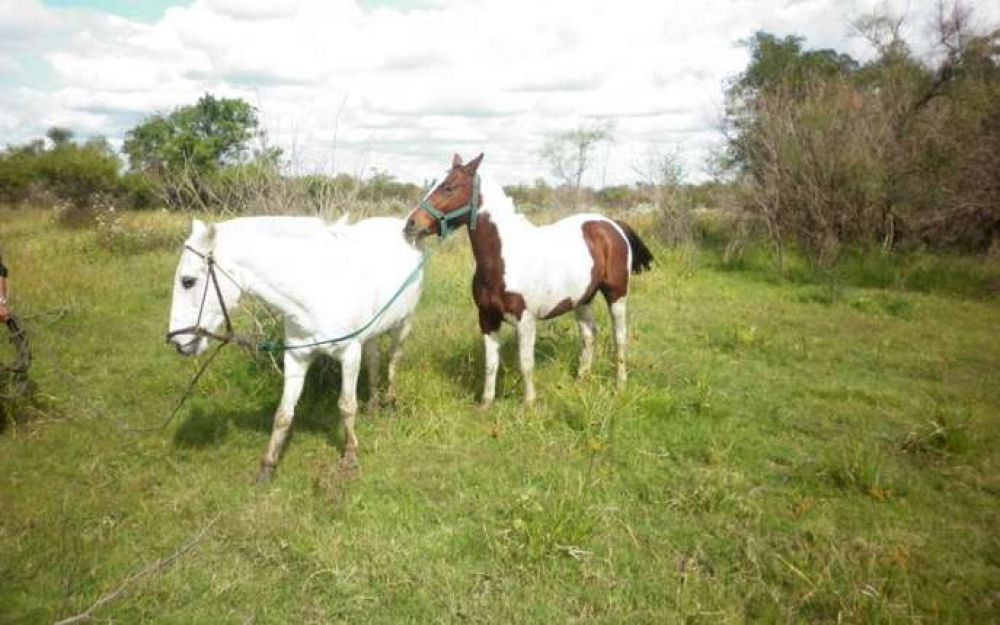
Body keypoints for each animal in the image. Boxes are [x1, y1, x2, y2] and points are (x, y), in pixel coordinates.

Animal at [165, 215, 424, 481]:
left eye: (188, 281)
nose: (177, 341)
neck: (316, 289)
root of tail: (401, 225)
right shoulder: (297, 357)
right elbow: (283, 414)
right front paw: (267, 466)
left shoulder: (349, 354)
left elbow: (346, 406)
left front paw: (350, 456)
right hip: (371, 333)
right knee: (373, 360)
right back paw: (372, 406)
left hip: (404, 324)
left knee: (393, 359)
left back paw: (390, 402)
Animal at [403, 153, 653, 406]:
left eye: (448, 187)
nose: (411, 224)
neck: (504, 258)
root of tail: (611, 224)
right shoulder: (487, 318)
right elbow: (491, 364)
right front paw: (486, 403)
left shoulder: (525, 320)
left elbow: (525, 363)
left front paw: (528, 403)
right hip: (582, 300)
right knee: (588, 335)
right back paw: (581, 379)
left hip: (617, 295)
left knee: (619, 337)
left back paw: (619, 385)